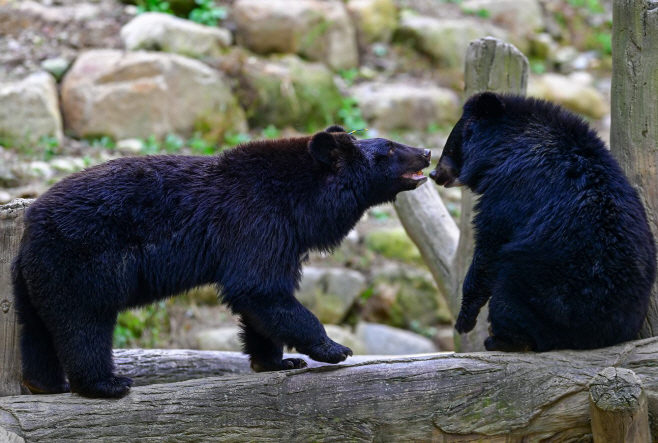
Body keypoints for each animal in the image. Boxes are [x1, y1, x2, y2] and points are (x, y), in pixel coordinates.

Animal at [12, 126, 430, 400]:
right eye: (390, 149)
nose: (426, 152)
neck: (302, 200)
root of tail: (31, 224)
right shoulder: (258, 218)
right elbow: (259, 287)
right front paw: (333, 348)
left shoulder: (283, 234)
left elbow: (260, 298)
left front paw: (277, 362)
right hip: (83, 261)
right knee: (84, 322)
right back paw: (106, 384)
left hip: (35, 276)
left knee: (35, 327)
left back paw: (45, 383)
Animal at [430, 93, 652, 354]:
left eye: (450, 146)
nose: (435, 174)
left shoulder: (512, 188)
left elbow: (491, 244)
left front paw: (464, 319)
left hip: (543, 286)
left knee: (509, 299)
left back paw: (502, 340)